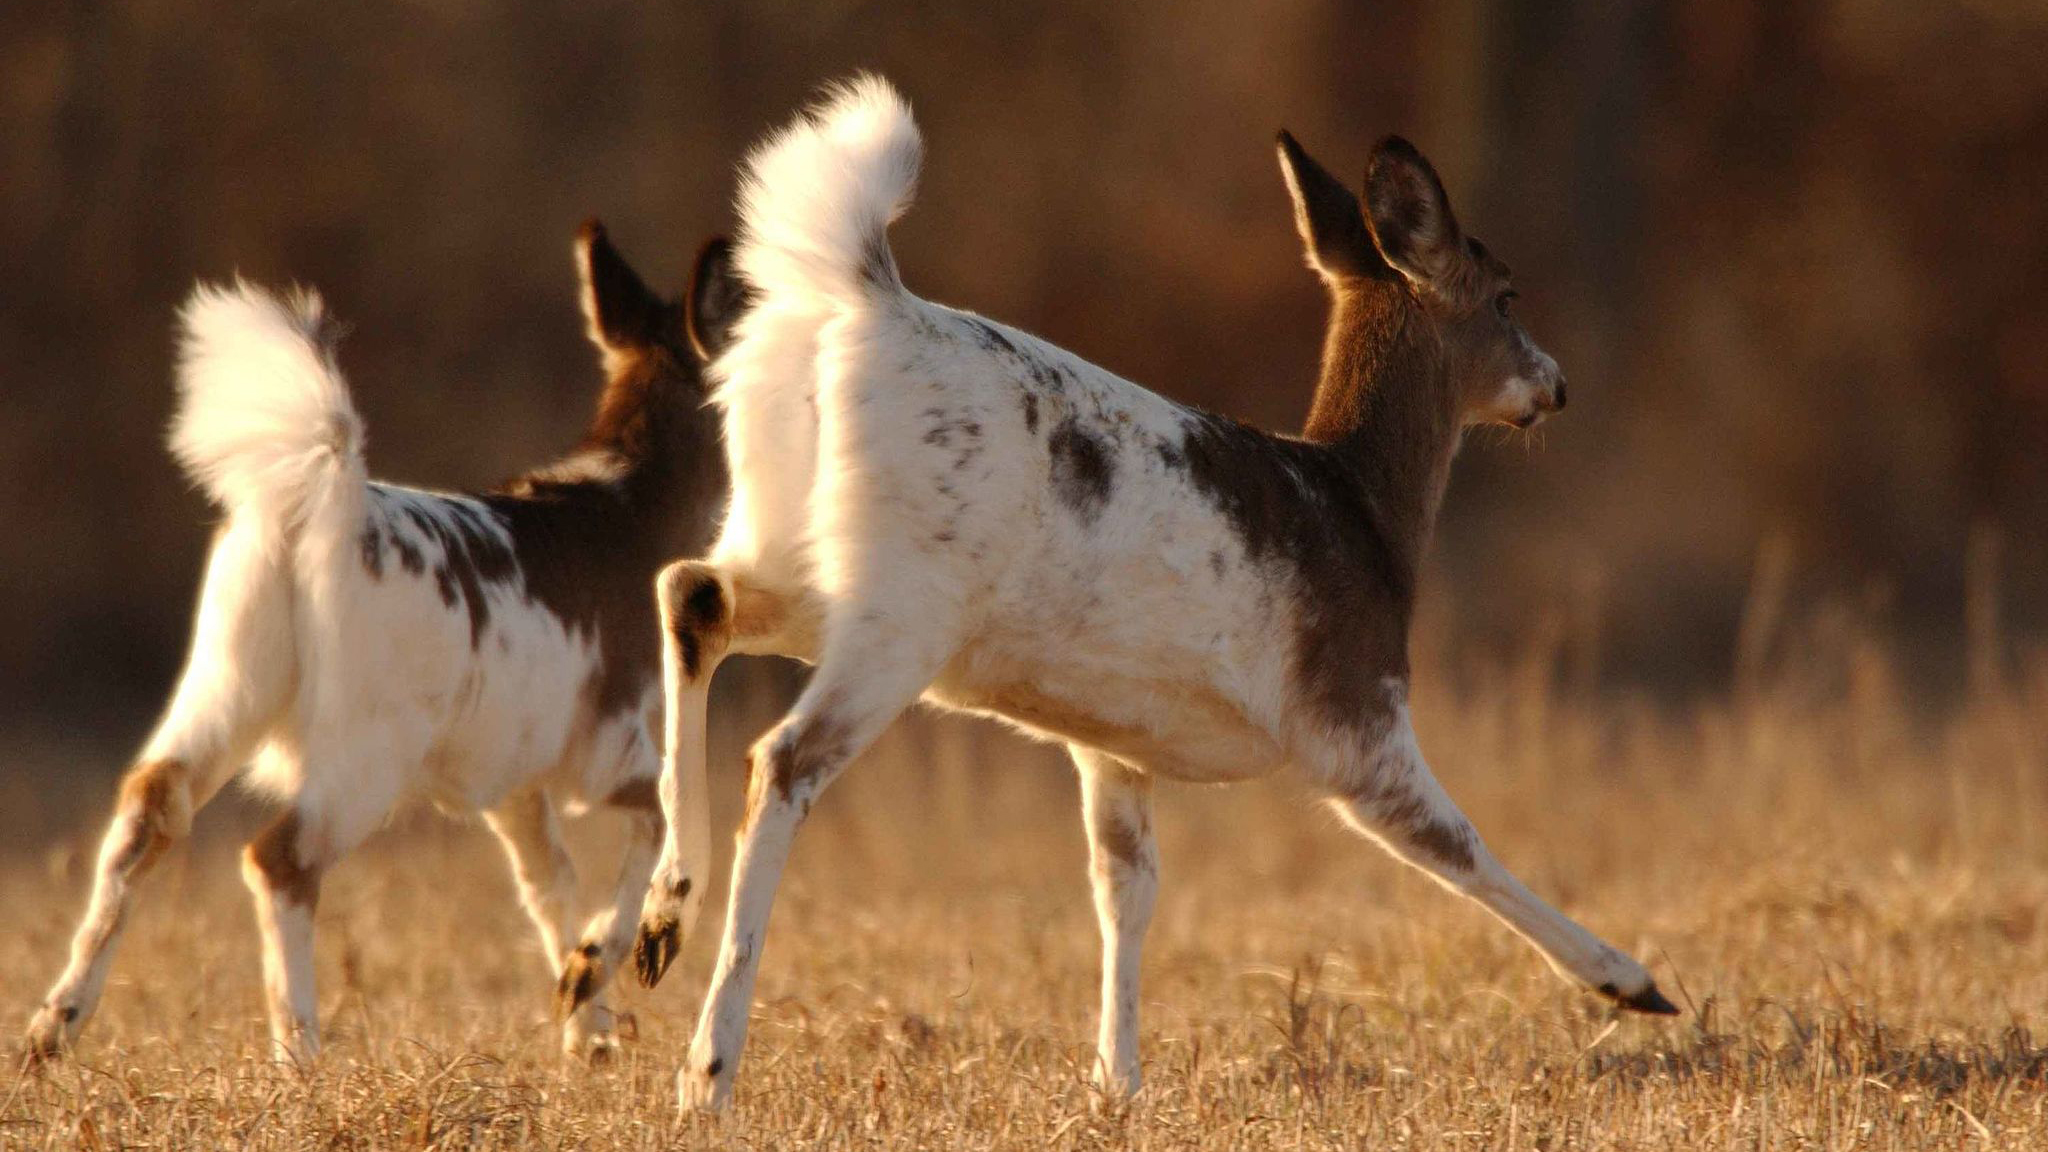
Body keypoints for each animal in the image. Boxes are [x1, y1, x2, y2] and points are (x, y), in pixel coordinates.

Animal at [24, 219, 749, 1065]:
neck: (637, 507)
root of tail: (310, 512)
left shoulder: (514, 788)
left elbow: (549, 886)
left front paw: (587, 1025)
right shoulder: (607, 752)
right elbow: (657, 829)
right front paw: (595, 980)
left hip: (225, 686)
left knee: (148, 808)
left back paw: (52, 1028)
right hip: (368, 748)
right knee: (279, 860)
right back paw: (299, 1053)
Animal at [622, 76, 1679, 1106]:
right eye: (1506, 295)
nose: (1555, 385)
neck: (1367, 513)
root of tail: (856, 298)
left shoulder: (1108, 741)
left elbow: (1125, 888)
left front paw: (1116, 1082)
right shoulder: (1353, 715)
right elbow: (1457, 846)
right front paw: (1633, 982)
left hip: (799, 557)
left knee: (690, 589)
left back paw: (663, 917)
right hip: (903, 606)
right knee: (780, 757)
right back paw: (708, 1067)